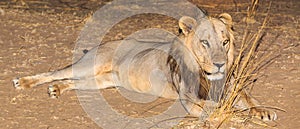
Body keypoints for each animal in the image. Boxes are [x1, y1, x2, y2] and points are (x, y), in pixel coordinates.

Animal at [12, 12, 276, 121]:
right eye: (205, 42)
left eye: (225, 42)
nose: (220, 64)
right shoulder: (189, 99)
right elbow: (216, 108)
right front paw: (238, 116)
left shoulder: (231, 88)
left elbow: (249, 99)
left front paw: (263, 111)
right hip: (86, 66)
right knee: (55, 72)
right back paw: (24, 81)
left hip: (103, 81)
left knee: (70, 82)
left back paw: (56, 89)